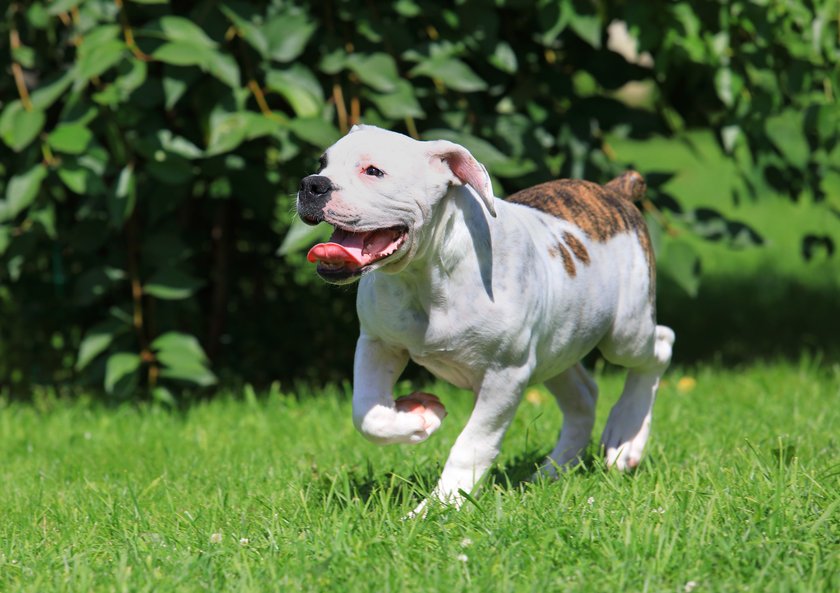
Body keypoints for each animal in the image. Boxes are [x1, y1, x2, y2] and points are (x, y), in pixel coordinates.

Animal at [296, 126, 676, 512]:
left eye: (373, 171)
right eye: (322, 164)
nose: (311, 184)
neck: (425, 274)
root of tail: (614, 191)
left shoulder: (504, 376)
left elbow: (473, 443)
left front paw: (441, 504)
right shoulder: (377, 343)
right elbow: (367, 414)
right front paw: (419, 417)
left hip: (625, 331)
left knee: (660, 346)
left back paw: (626, 436)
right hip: (558, 344)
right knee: (584, 395)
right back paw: (554, 471)